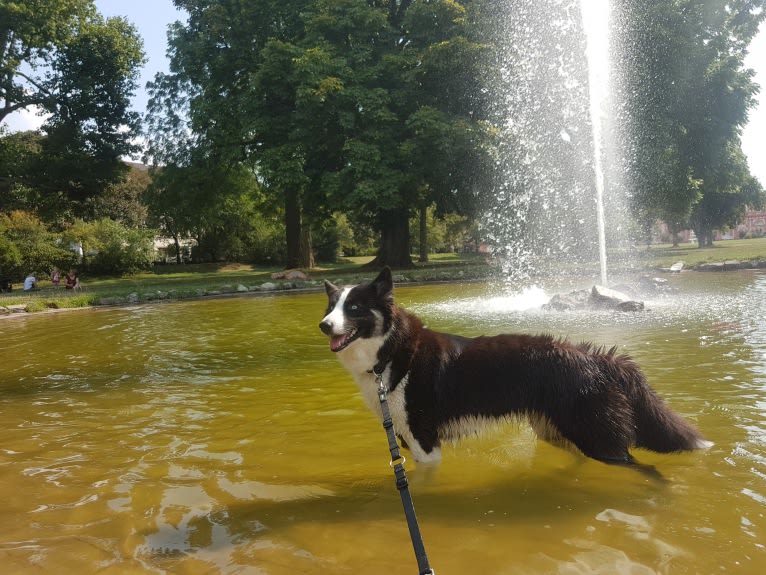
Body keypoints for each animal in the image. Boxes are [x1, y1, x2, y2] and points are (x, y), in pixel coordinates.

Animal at [320, 268, 712, 466]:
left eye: (354, 308)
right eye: (331, 307)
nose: (324, 325)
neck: (391, 351)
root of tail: (600, 358)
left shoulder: (423, 437)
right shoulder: (403, 433)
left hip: (597, 436)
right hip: (556, 430)